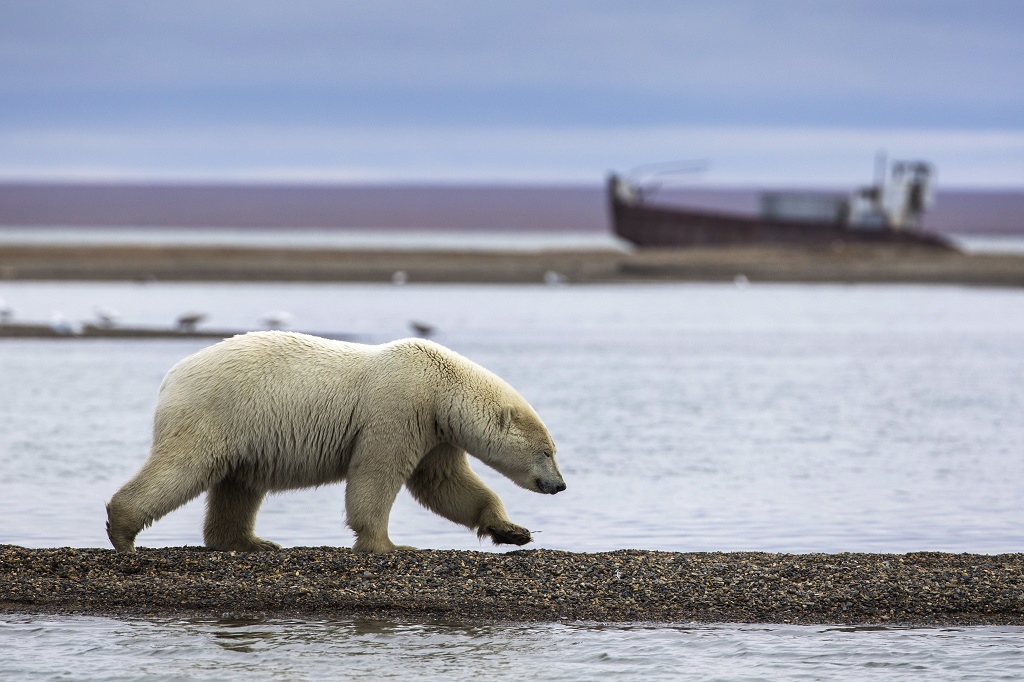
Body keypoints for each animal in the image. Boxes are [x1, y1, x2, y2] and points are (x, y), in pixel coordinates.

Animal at [105, 329, 569, 552]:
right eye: (547, 452)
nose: (560, 485)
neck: (442, 389)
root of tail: (172, 375)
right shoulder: (399, 409)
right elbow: (377, 474)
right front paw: (388, 545)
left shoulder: (436, 431)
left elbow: (444, 484)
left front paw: (512, 531)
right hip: (217, 411)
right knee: (183, 466)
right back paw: (123, 530)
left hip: (244, 431)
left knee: (238, 485)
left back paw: (251, 542)